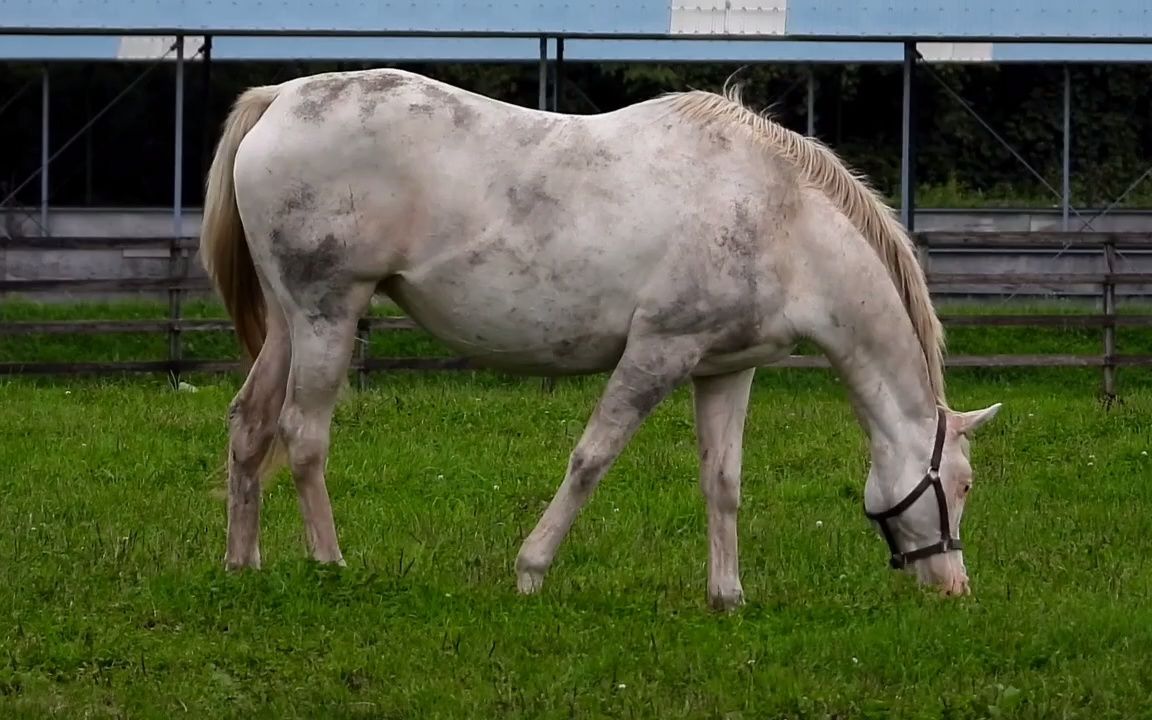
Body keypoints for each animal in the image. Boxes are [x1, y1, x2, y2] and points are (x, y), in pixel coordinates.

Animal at [202, 67, 1004, 608]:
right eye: (961, 484)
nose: (954, 585)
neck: (781, 220)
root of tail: (282, 99)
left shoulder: (724, 370)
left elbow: (723, 483)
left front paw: (727, 596)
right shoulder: (658, 352)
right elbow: (591, 459)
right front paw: (530, 570)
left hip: (289, 322)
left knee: (250, 424)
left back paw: (243, 565)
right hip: (328, 315)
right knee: (304, 435)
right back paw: (330, 564)